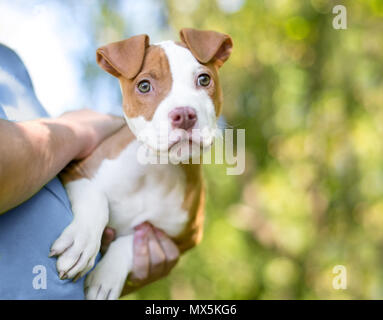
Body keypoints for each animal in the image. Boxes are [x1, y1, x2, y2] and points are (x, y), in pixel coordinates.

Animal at [49, 28, 232, 300]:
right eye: (144, 86)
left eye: (203, 79)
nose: (184, 115)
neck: (155, 167)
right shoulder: (73, 169)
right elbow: (96, 199)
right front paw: (81, 242)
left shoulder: (184, 237)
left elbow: (134, 239)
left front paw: (105, 277)